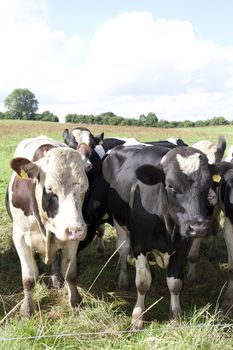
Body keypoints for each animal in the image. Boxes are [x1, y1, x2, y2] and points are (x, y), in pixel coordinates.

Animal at [6, 135, 88, 318]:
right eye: (49, 189)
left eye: (85, 189)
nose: (75, 230)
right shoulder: (19, 238)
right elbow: (29, 279)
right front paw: (27, 310)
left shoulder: (72, 239)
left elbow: (70, 274)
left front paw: (76, 302)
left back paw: (55, 278)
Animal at [100, 144, 226, 330]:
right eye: (171, 186)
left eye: (208, 184)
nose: (198, 227)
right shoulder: (139, 244)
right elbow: (143, 282)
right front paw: (138, 316)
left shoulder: (181, 245)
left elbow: (175, 283)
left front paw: (175, 315)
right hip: (118, 221)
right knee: (123, 249)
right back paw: (123, 279)